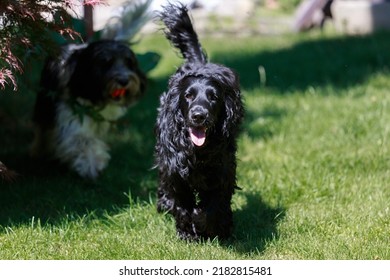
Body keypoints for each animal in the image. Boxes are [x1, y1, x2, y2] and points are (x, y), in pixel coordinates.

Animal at [31, 39, 148, 178]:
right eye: (106, 64)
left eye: (129, 63)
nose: (124, 81)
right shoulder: (71, 112)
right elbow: (81, 138)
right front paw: (90, 163)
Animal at [155, 2, 244, 241]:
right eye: (188, 96)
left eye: (214, 97)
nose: (198, 115)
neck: (198, 151)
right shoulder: (175, 171)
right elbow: (182, 204)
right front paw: (187, 231)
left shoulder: (222, 171)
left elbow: (213, 206)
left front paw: (210, 225)